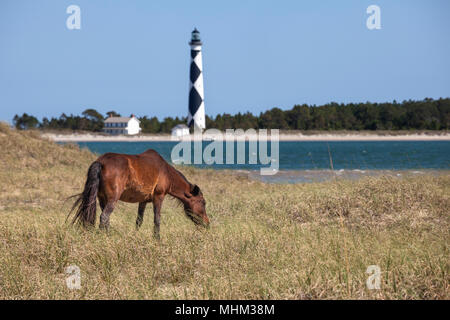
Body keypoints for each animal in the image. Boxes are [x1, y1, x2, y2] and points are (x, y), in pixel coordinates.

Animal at [68, 148, 209, 238]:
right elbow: (157, 219)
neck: (166, 172)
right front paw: (157, 239)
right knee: (104, 217)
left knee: (106, 218)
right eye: (203, 202)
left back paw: (108, 236)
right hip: (112, 199)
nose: (207, 223)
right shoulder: (159, 197)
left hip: (102, 199)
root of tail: (101, 162)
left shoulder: (143, 201)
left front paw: (135, 236)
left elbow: (139, 220)